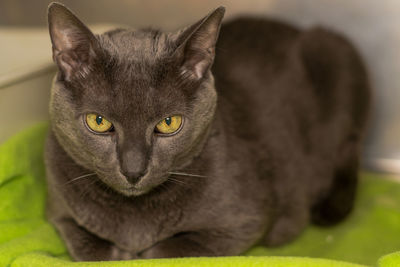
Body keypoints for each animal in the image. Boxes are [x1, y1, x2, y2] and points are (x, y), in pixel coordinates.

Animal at [45, 2, 370, 262]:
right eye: (98, 121)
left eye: (169, 123)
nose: (134, 170)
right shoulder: (60, 211)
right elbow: (89, 247)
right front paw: (119, 253)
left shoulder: (244, 222)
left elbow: (164, 251)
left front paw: (137, 254)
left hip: (336, 54)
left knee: (351, 146)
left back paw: (330, 208)